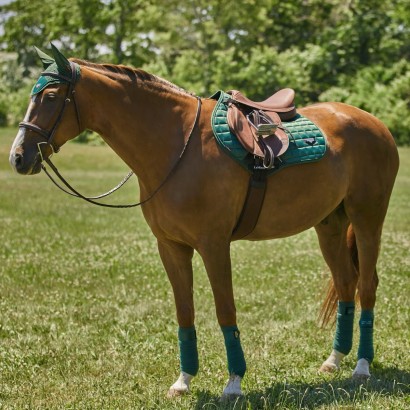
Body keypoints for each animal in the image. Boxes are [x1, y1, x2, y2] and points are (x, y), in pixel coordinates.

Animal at [9, 46, 398, 398]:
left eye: (51, 96)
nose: (17, 157)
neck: (176, 144)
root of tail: (374, 123)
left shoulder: (214, 245)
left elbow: (226, 311)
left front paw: (234, 383)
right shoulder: (171, 247)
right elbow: (185, 313)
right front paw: (183, 381)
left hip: (367, 219)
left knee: (367, 285)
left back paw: (362, 365)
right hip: (329, 224)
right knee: (346, 284)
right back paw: (334, 360)